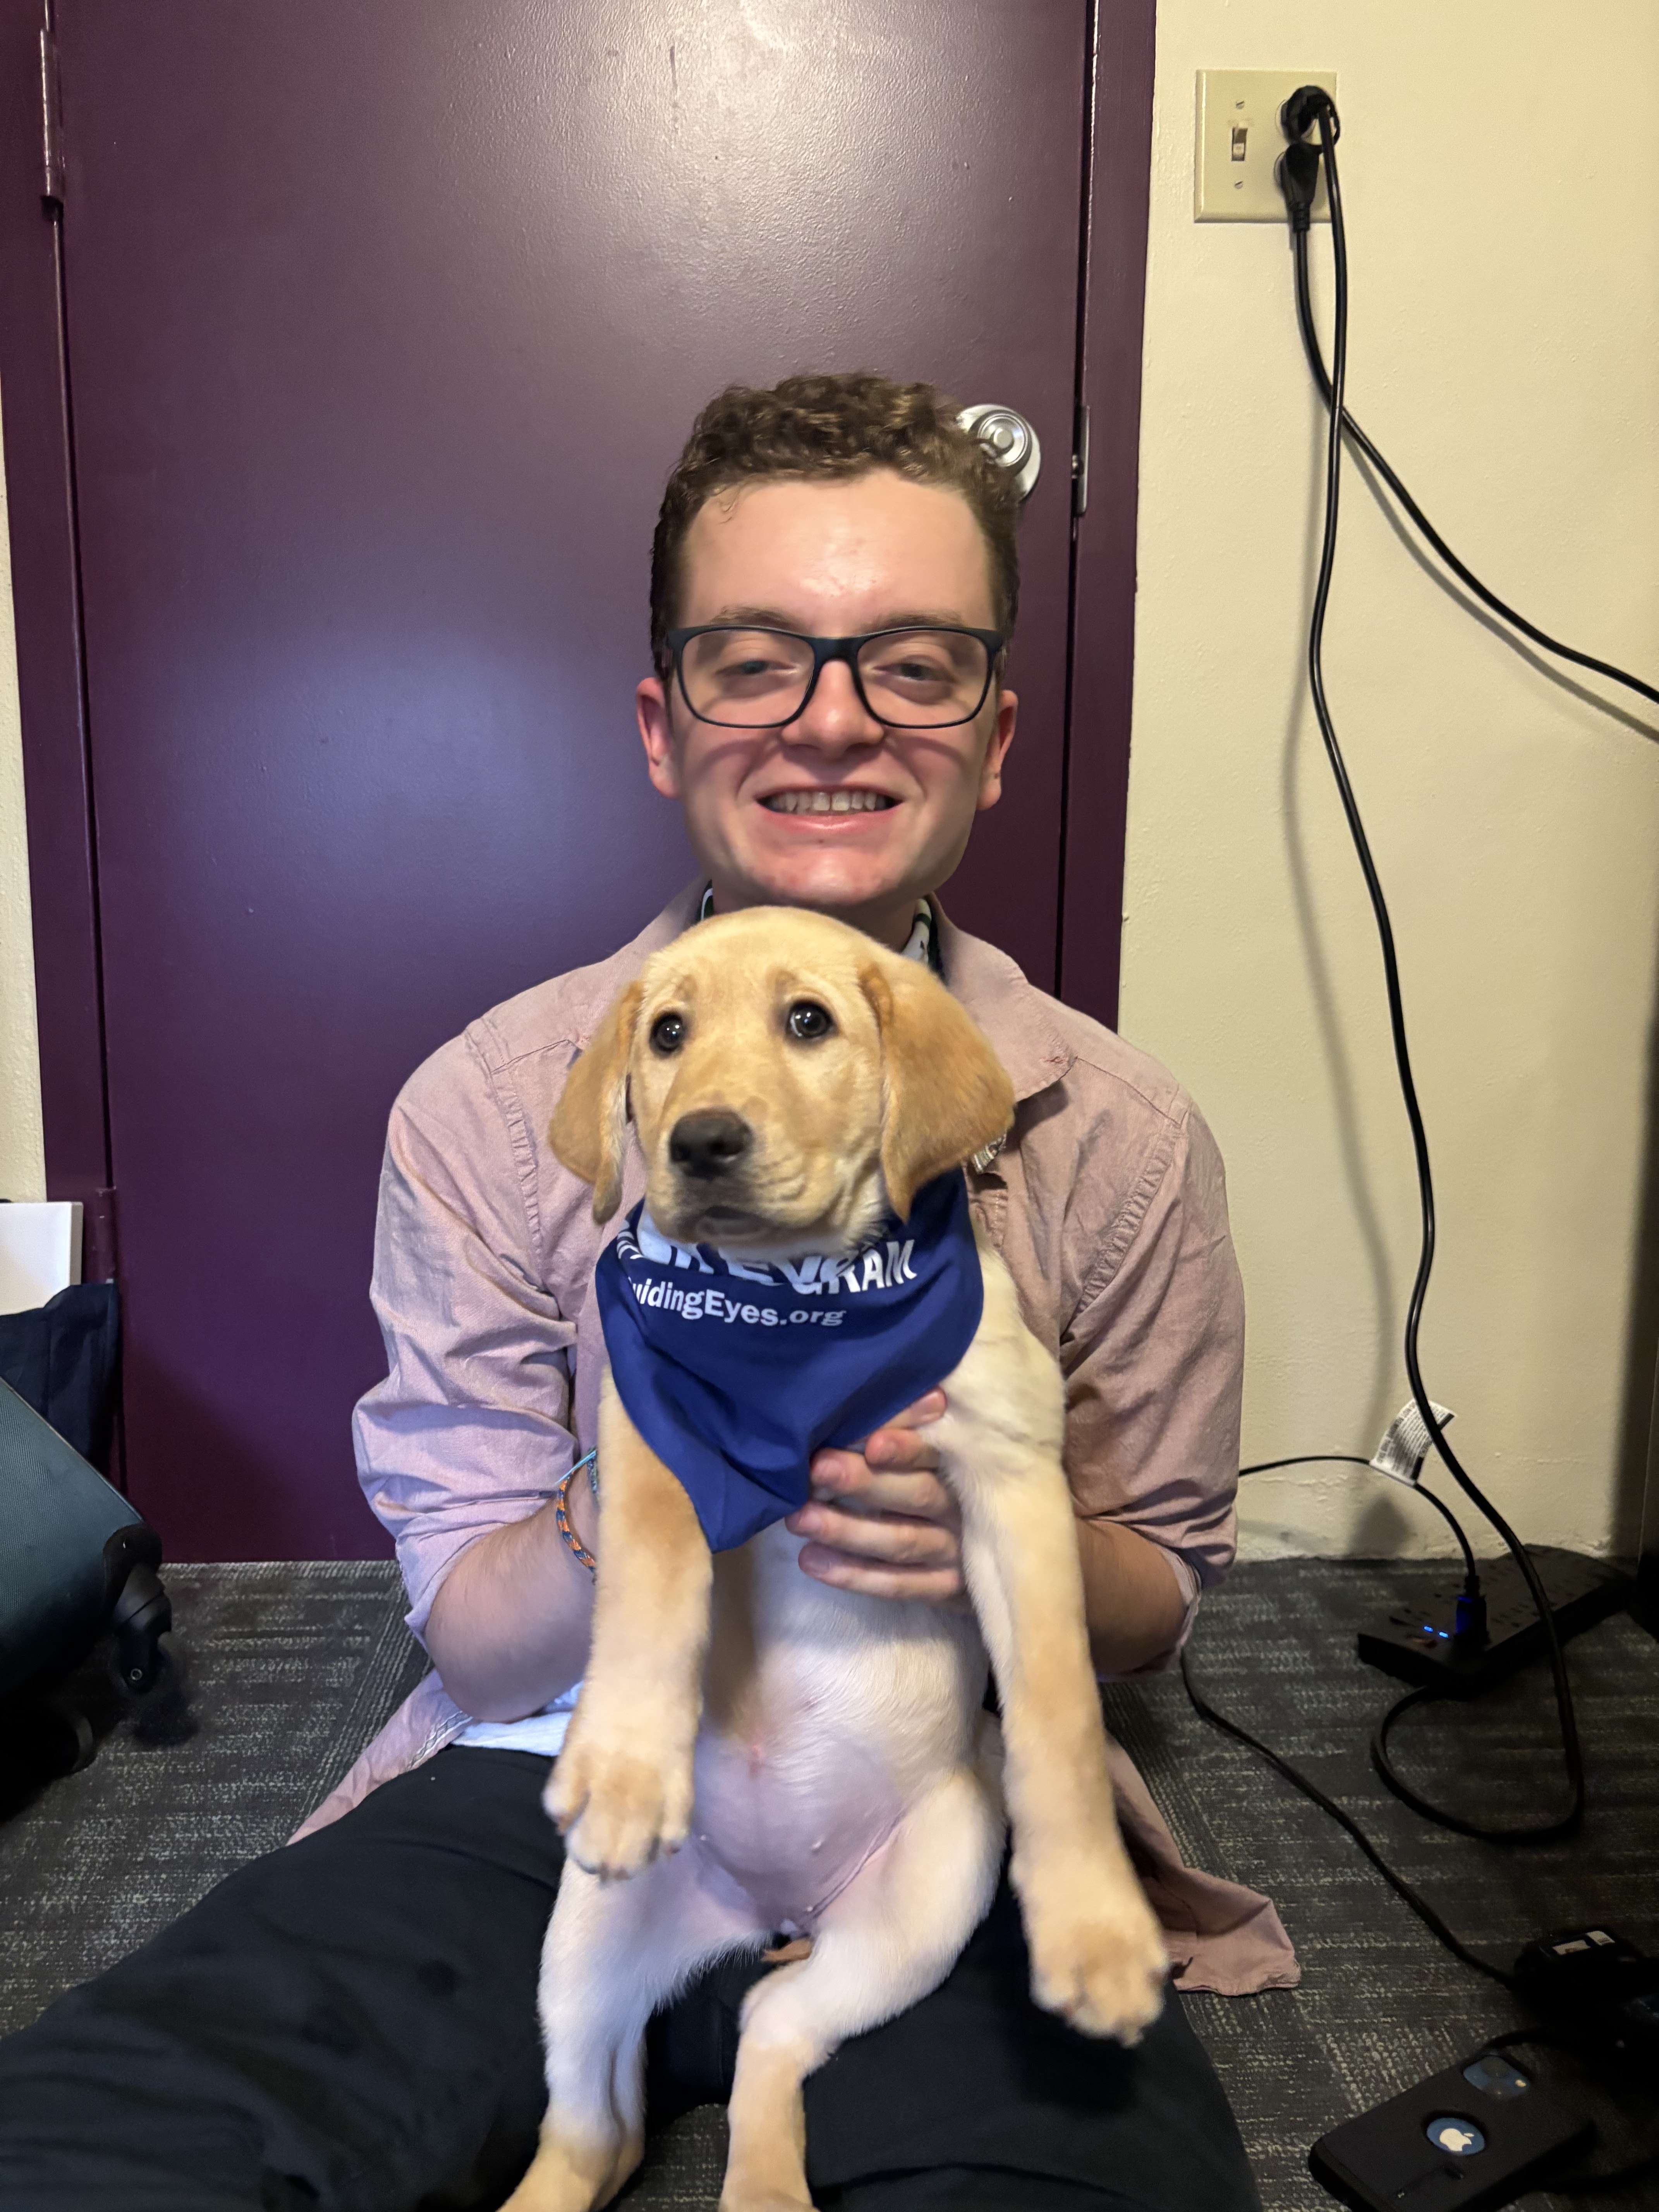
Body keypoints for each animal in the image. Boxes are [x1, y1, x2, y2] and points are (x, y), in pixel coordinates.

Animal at [500, 907, 1167, 2212]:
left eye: (808, 1021)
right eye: (667, 1033)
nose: (700, 1141)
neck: (793, 1308)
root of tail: (766, 1908)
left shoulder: (1012, 1476)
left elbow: (1060, 1712)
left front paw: (1096, 1931)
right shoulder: (653, 1435)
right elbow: (652, 1590)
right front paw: (625, 1764)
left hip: (924, 1901)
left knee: (771, 2030)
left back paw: (765, 2185)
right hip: (581, 1940)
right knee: (595, 2124)